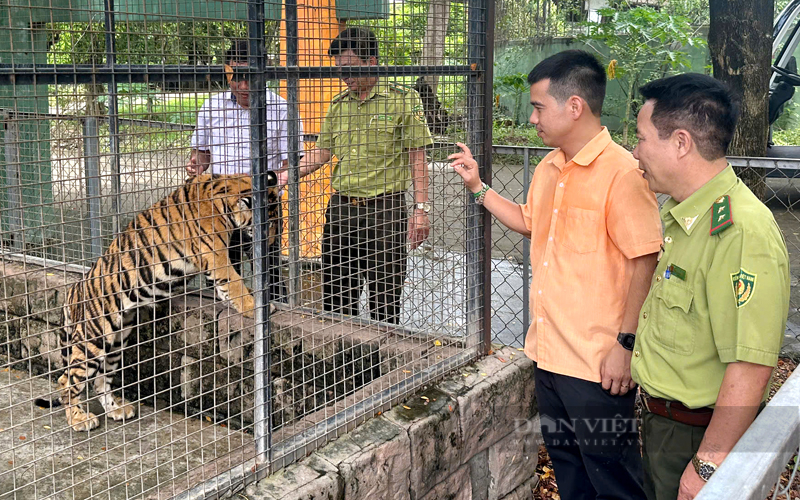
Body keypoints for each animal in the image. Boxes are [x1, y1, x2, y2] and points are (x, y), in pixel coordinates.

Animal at [36, 172, 282, 430]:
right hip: (93, 338)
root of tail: (73, 290)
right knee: (67, 380)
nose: (272, 244)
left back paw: (118, 410)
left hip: (118, 339)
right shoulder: (217, 259)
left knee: (101, 381)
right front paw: (258, 307)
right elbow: (235, 285)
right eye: (270, 223)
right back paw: (79, 419)